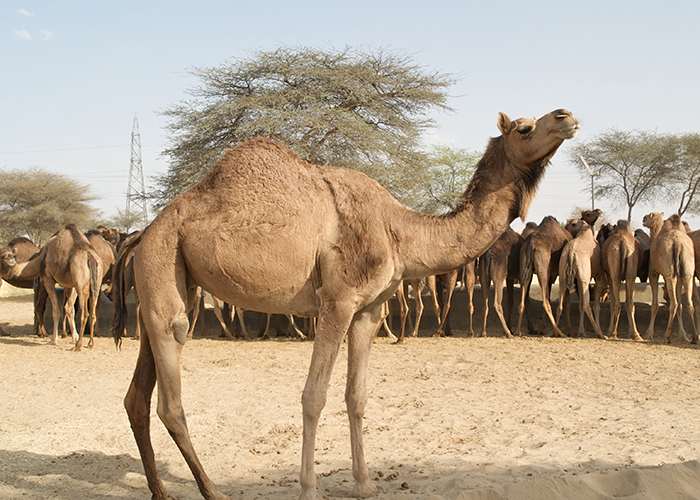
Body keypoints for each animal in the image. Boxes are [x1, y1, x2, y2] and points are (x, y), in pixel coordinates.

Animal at [111, 109, 579, 500]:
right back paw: (213, 491)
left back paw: (162, 492)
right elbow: (314, 395)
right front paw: (309, 489)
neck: (398, 230)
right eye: (524, 128)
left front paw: (365, 484)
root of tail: (142, 233)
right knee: (170, 397)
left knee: (137, 395)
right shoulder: (336, 301)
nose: (566, 116)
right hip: (164, 267)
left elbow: (357, 394)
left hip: (165, 286)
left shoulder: (367, 311)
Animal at [642, 212, 699, 344]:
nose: (643, 218)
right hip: (687, 272)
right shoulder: (679, 277)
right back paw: (694, 337)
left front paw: (648, 333)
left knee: (674, 304)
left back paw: (666, 337)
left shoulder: (653, 272)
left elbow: (655, 305)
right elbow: (681, 305)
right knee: (689, 304)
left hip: (669, 274)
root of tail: (678, 243)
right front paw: (683, 335)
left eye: (649, 216)